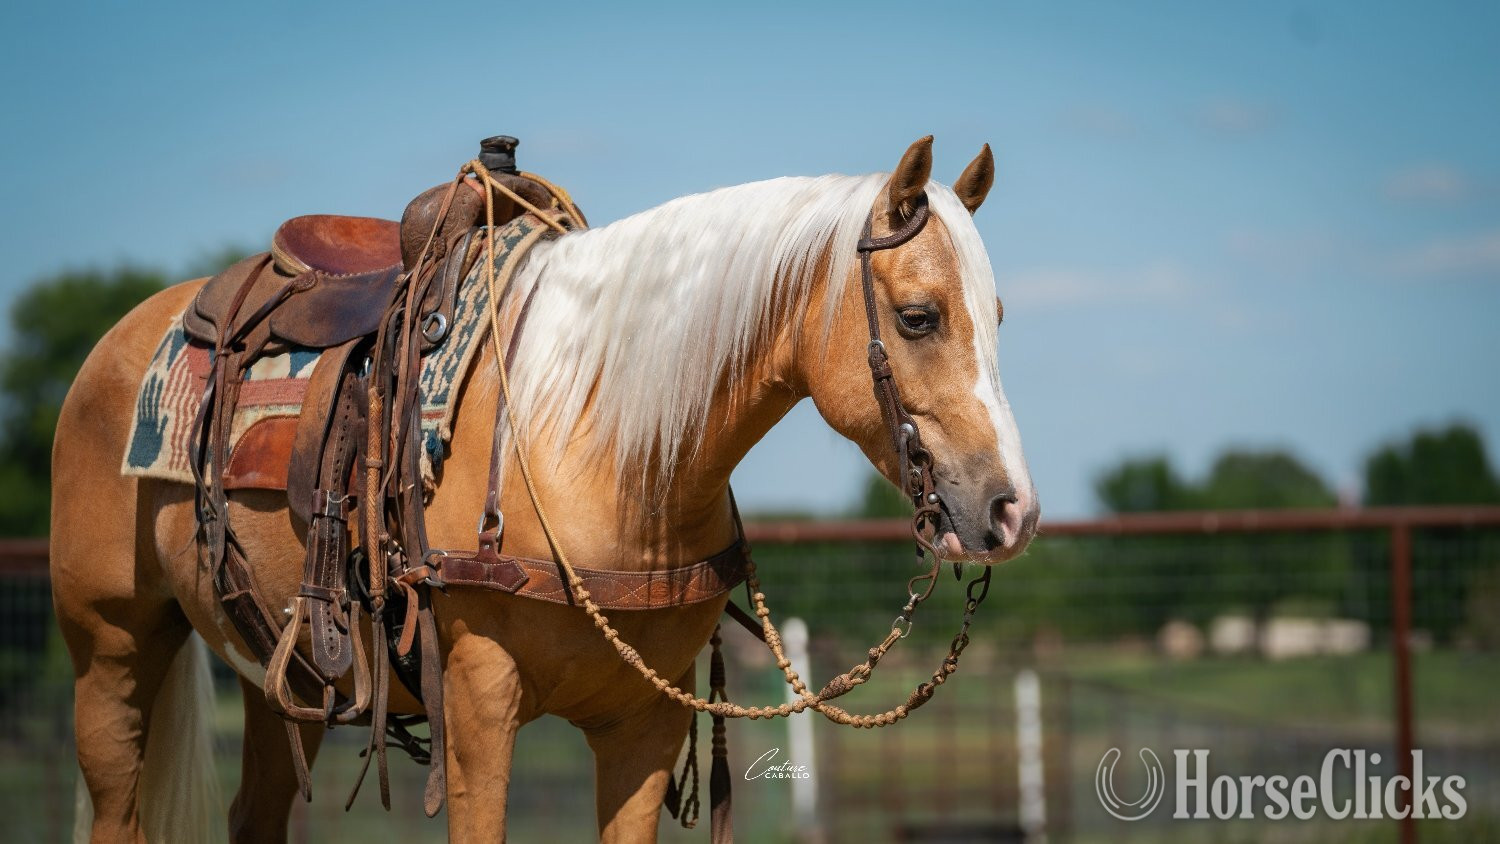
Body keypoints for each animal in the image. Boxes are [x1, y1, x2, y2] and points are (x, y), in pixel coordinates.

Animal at [50, 135, 1038, 843]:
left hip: (277, 678)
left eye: (997, 318)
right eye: (918, 317)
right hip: (109, 650)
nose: (1010, 511)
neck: (598, 449)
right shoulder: (478, 713)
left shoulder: (644, 729)